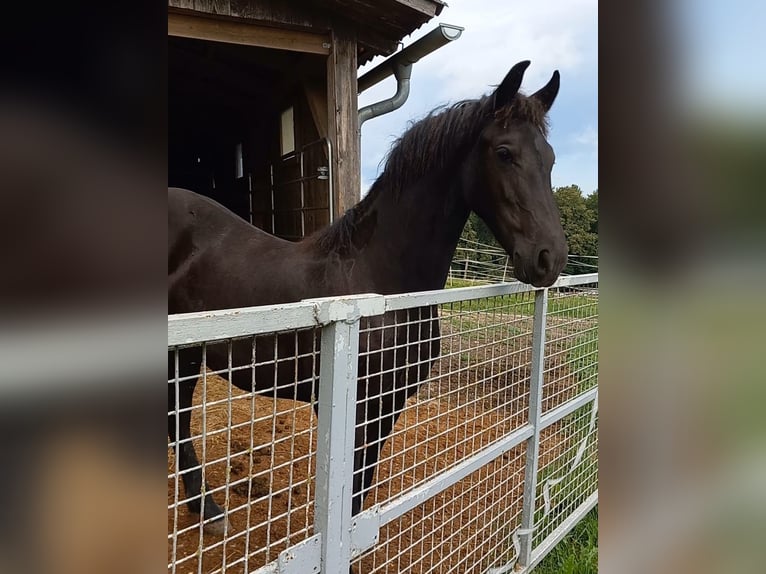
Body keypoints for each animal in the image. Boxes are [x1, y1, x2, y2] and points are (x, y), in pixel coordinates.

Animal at [170, 60, 568, 536]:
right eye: (505, 152)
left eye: (550, 158)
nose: (550, 258)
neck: (380, 282)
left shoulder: (387, 404)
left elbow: (361, 493)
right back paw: (208, 510)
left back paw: (202, 507)